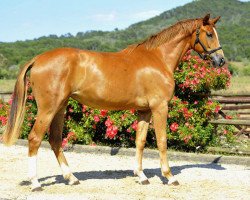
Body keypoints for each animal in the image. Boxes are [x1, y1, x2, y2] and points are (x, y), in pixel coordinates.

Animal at [1, 13, 225, 191]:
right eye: (209, 34)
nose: (221, 60)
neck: (157, 58)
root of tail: (38, 59)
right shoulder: (160, 107)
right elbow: (162, 141)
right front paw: (169, 177)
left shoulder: (144, 110)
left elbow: (140, 141)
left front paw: (142, 176)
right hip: (48, 109)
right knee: (34, 139)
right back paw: (36, 183)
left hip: (60, 108)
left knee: (55, 140)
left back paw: (71, 178)